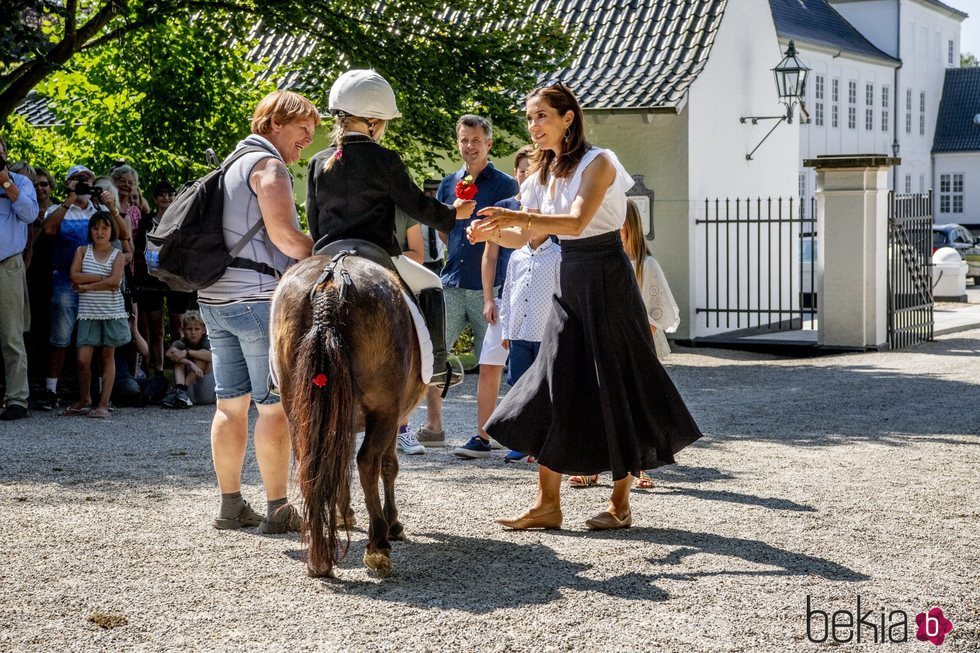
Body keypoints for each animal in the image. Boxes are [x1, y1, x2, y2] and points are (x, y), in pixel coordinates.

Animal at [268, 251, 424, 576]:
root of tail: (332, 280)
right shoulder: (393, 415)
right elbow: (388, 465)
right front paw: (393, 523)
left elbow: (338, 465)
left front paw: (342, 515)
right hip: (385, 409)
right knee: (368, 462)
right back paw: (378, 544)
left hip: (298, 407)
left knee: (311, 463)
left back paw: (319, 555)